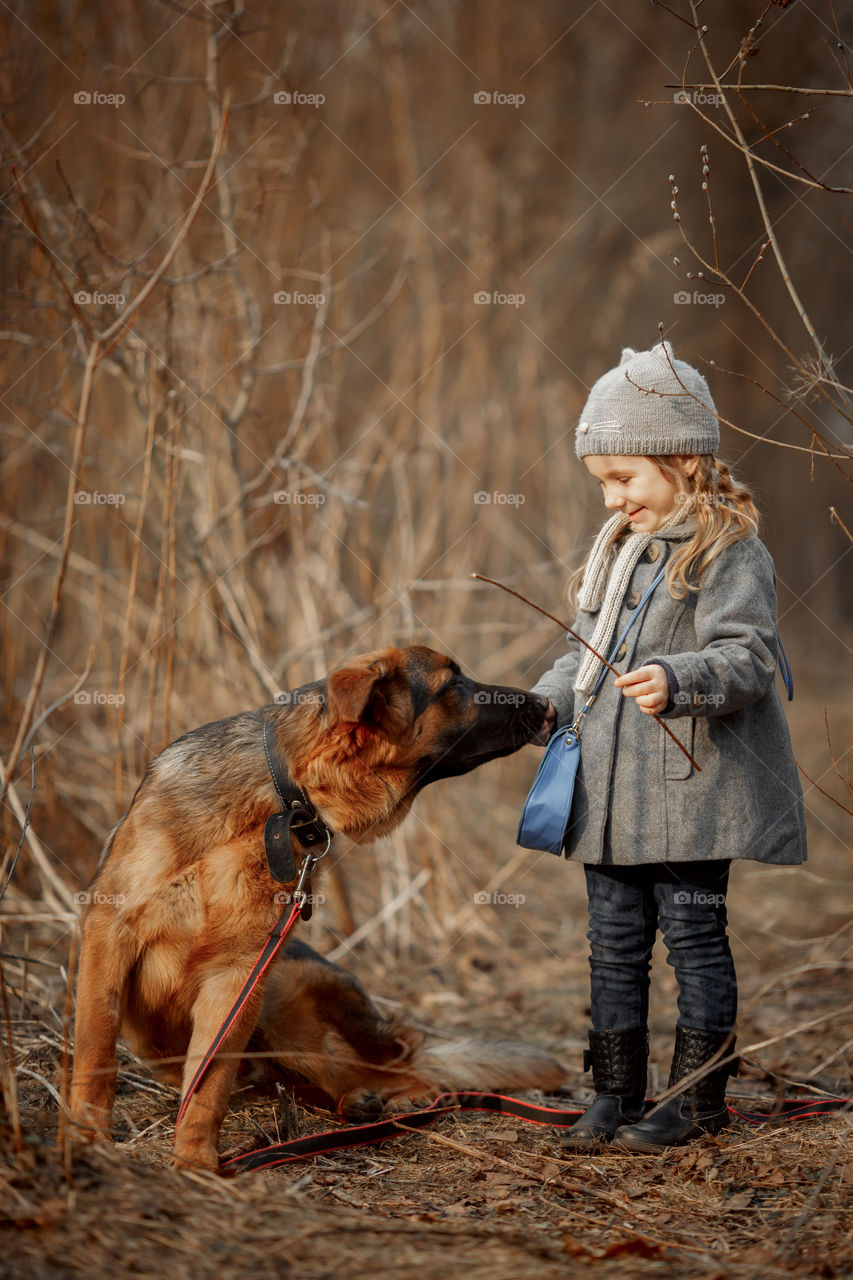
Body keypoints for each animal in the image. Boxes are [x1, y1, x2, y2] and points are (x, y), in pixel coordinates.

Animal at [69, 650, 555, 1172]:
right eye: (454, 684)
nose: (548, 704)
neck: (282, 801)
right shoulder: (110, 934)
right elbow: (97, 1048)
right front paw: (87, 1135)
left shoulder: (237, 976)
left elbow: (208, 1085)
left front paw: (196, 1160)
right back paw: (361, 1102)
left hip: (290, 1011)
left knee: (401, 1060)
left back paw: (397, 1099)